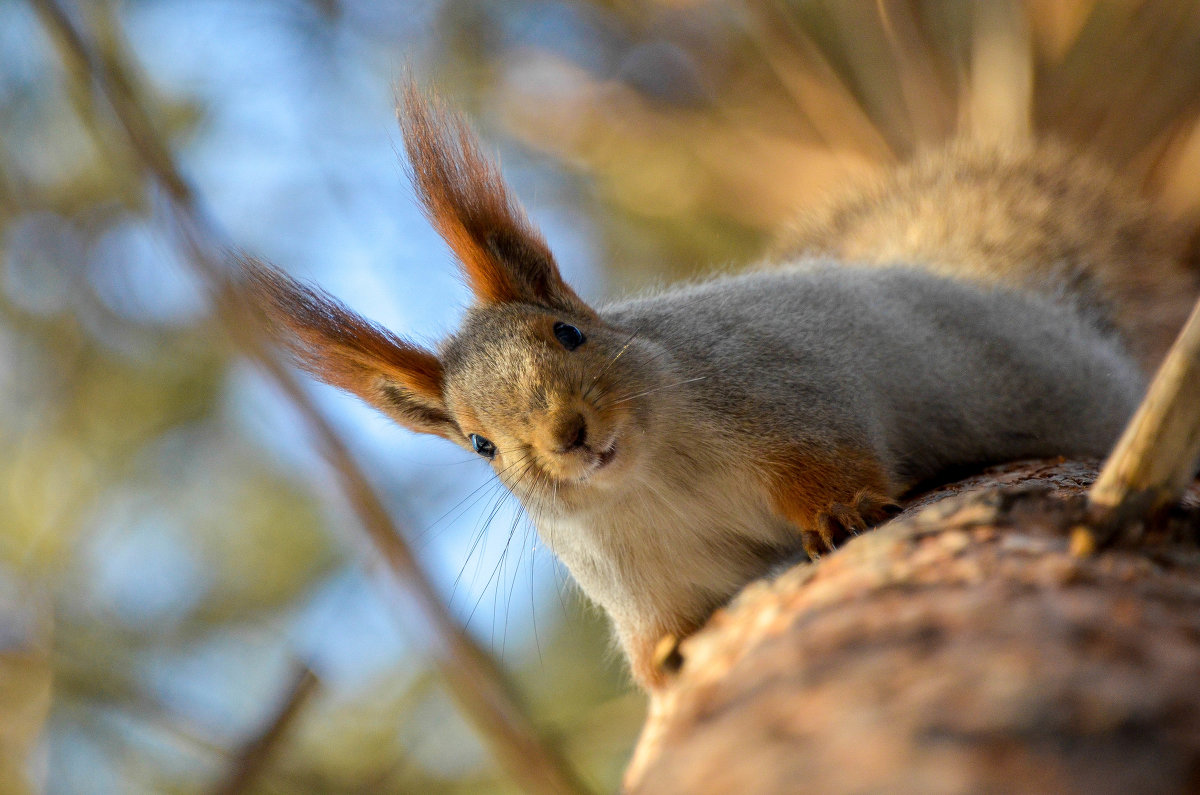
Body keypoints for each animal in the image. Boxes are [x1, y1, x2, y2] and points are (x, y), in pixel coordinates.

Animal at [246, 82, 1200, 691]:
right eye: (479, 444)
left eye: (569, 332)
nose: (568, 436)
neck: (651, 476)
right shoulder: (634, 573)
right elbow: (662, 623)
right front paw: (661, 662)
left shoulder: (785, 396)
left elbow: (828, 459)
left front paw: (839, 514)